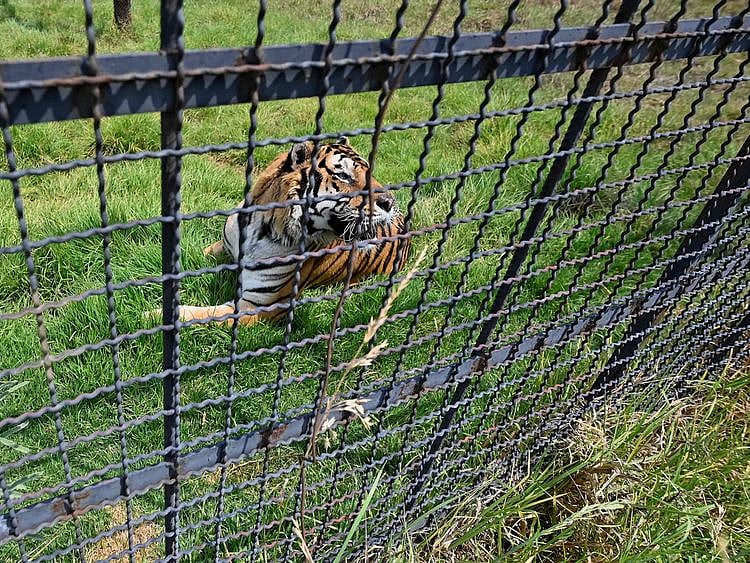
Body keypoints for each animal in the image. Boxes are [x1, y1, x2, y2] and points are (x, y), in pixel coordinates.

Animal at [169, 137, 409, 326]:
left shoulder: (259, 305)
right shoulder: (221, 247)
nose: (389, 202)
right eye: (343, 175)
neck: (260, 229)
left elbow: (200, 315)